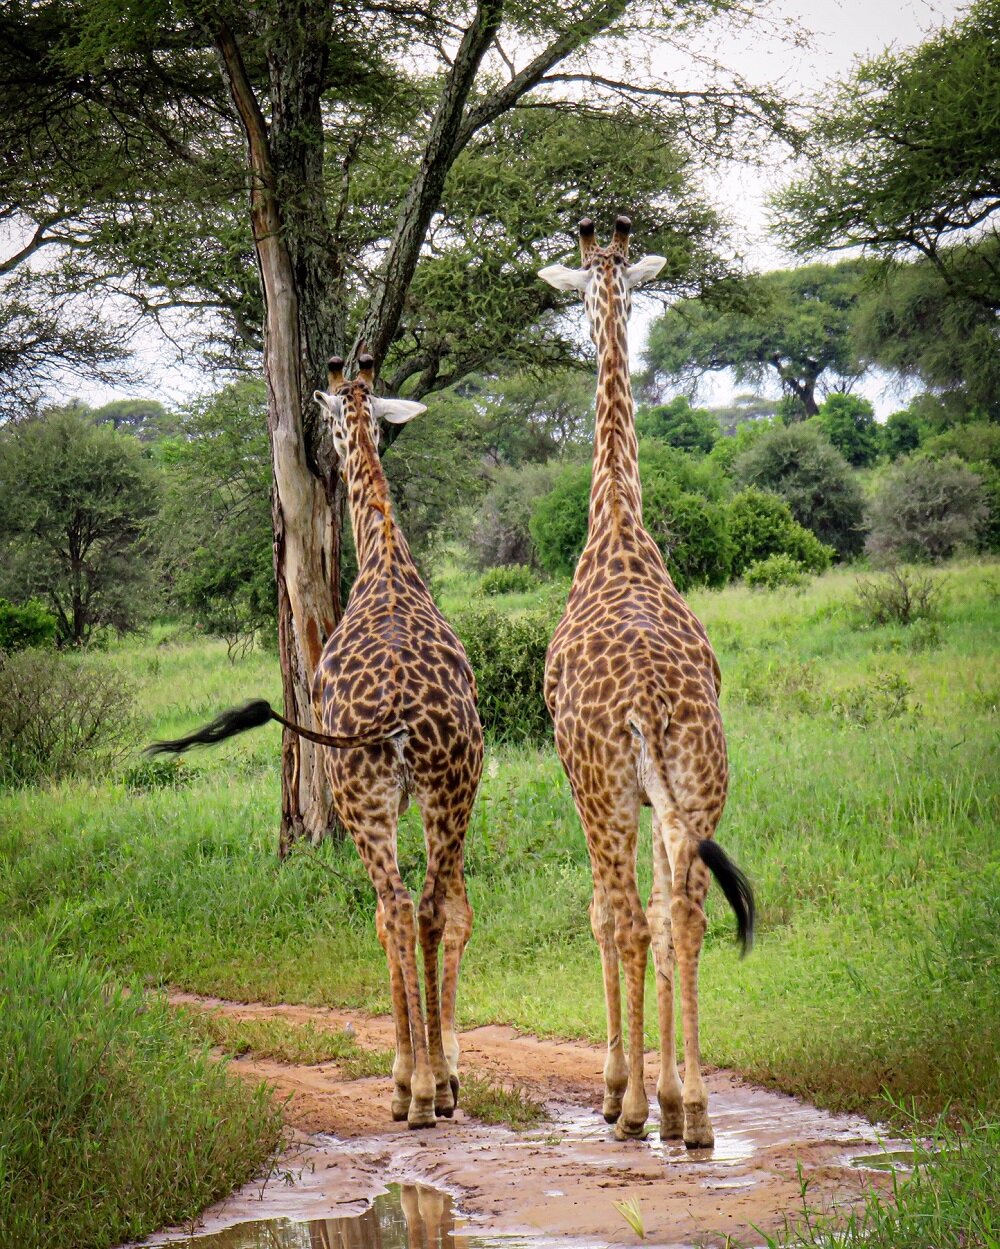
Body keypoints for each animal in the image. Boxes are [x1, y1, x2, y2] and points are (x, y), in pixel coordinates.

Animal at [149, 354, 486, 1134]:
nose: (322, 437)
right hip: (450, 791)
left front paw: (416, 1074)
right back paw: (439, 1083)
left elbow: (390, 916)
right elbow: (452, 912)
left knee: (394, 908)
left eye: (331, 419)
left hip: (362, 796)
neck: (386, 559)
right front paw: (449, 1070)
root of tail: (397, 716)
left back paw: (410, 1089)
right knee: (434, 904)